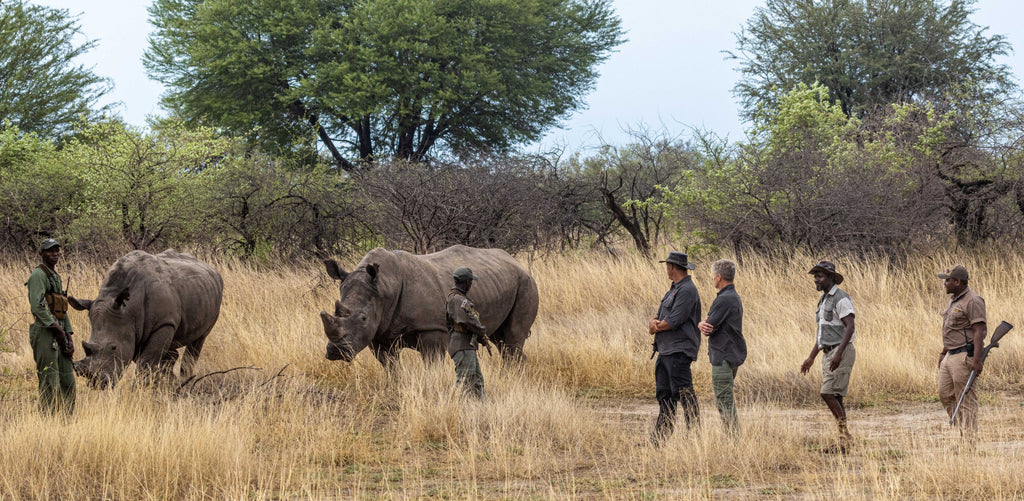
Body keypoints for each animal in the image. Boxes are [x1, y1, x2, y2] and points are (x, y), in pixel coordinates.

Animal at [69, 250, 223, 388]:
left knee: (199, 340)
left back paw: (184, 381)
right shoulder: (134, 329)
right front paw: (159, 383)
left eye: (113, 347)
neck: (129, 310)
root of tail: (211, 268)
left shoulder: (163, 323)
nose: (97, 383)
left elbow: (145, 362)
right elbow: (146, 359)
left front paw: (138, 390)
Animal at [320, 245, 539, 367]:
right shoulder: (378, 331)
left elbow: (431, 364)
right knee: (501, 340)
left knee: (513, 339)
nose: (336, 352)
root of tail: (515, 262)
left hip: (526, 283)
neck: (384, 287)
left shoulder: (431, 328)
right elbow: (390, 367)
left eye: (363, 318)